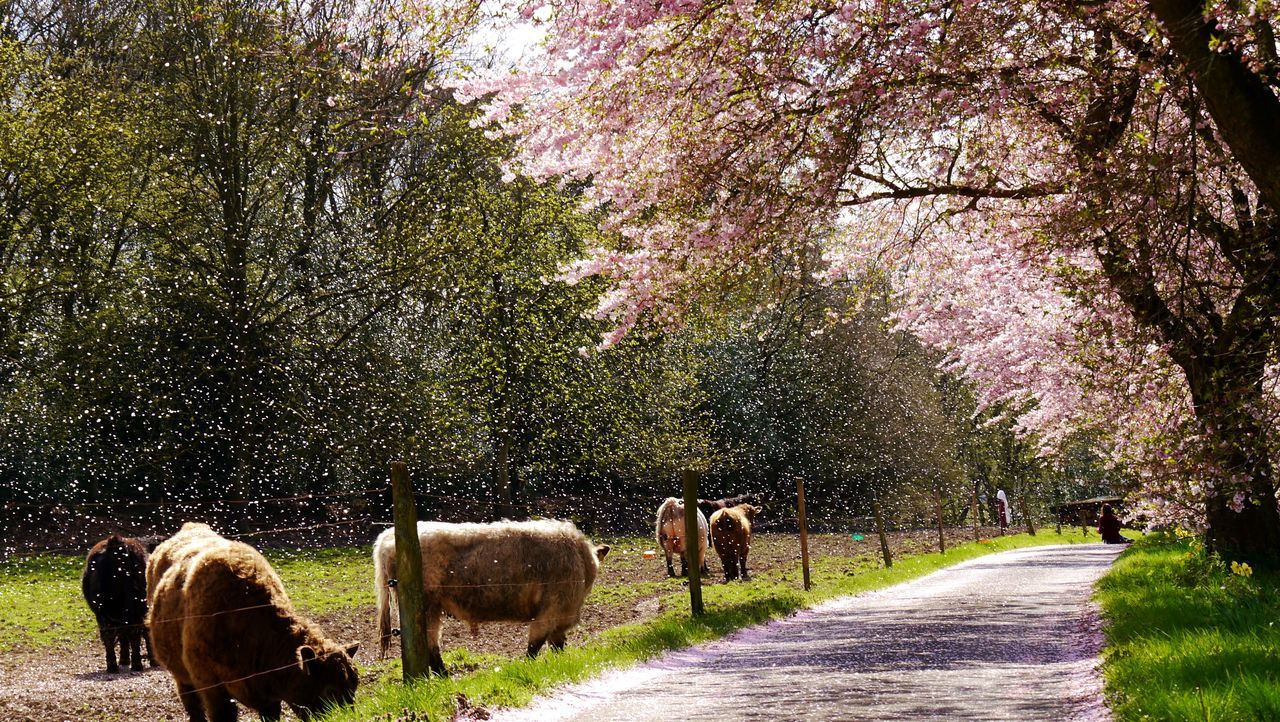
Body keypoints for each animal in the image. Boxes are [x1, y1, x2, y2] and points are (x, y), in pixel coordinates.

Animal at [149, 522, 360, 716]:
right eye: (330, 690)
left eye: (354, 686)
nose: (350, 716)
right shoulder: (212, 689)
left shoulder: (268, 698)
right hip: (182, 678)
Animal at [371, 519, 609, 675]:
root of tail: (388, 537)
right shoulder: (551, 611)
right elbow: (534, 646)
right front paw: (529, 668)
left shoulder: (558, 620)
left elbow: (557, 646)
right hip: (427, 608)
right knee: (430, 644)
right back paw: (446, 677)